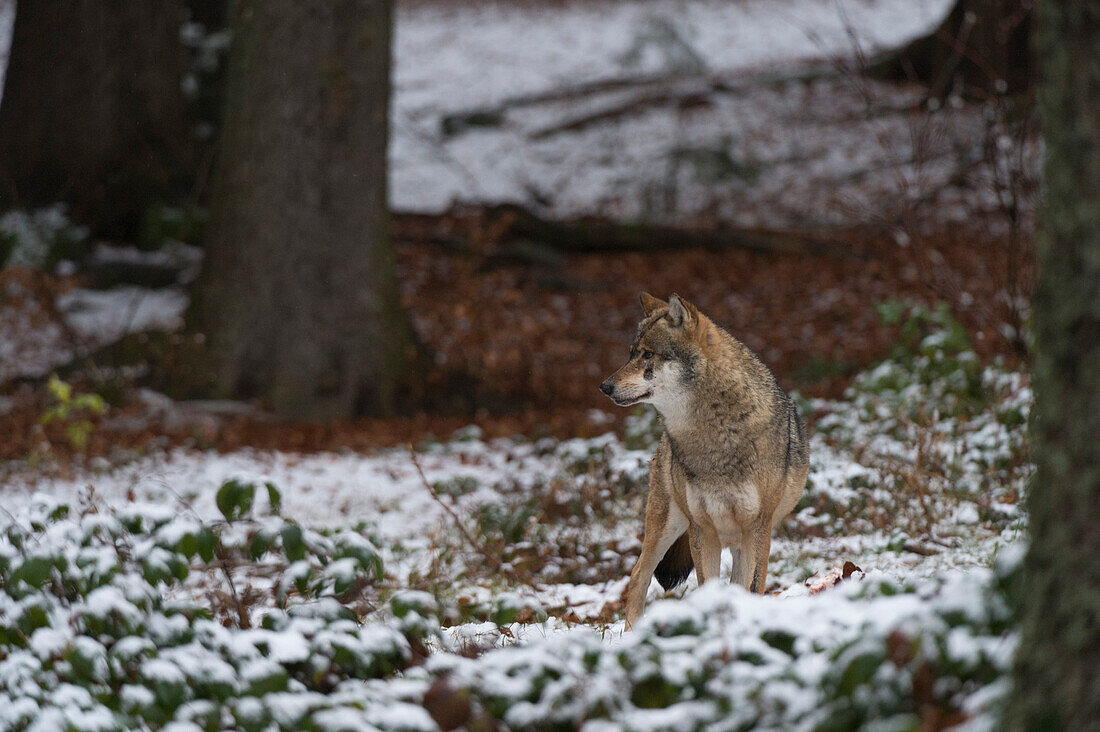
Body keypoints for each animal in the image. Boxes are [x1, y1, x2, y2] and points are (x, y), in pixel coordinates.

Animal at [602, 295, 809, 625]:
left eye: (648, 355)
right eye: (631, 354)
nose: (605, 387)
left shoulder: (758, 528)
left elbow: (753, 587)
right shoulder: (702, 530)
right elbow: (705, 585)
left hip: (734, 542)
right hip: (667, 525)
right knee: (637, 576)